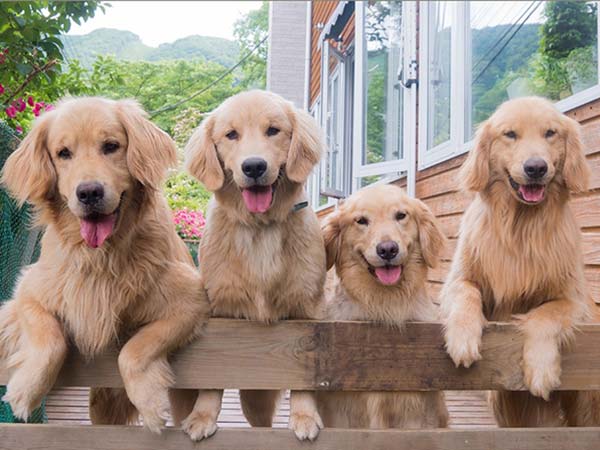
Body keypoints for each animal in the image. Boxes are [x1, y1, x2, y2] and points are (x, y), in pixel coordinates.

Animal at [0, 97, 209, 432]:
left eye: (111, 146)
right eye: (63, 153)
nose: (89, 192)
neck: (100, 255)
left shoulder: (191, 299)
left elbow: (134, 350)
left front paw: (149, 402)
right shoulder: (29, 290)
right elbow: (48, 338)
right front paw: (25, 389)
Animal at [171, 89, 326, 442]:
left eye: (273, 130)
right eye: (231, 135)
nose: (254, 166)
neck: (261, 227)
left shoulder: (307, 312)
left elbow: (304, 377)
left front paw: (304, 416)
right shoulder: (221, 311)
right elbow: (211, 375)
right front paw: (202, 415)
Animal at [438, 96, 596, 428]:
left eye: (550, 133)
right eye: (510, 134)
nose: (536, 167)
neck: (521, 226)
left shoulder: (575, 302)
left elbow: (544, 314)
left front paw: (541, 368)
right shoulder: (458, 279)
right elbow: (467, 295)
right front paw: (462, 338)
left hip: (586, 402)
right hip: (504, 401)